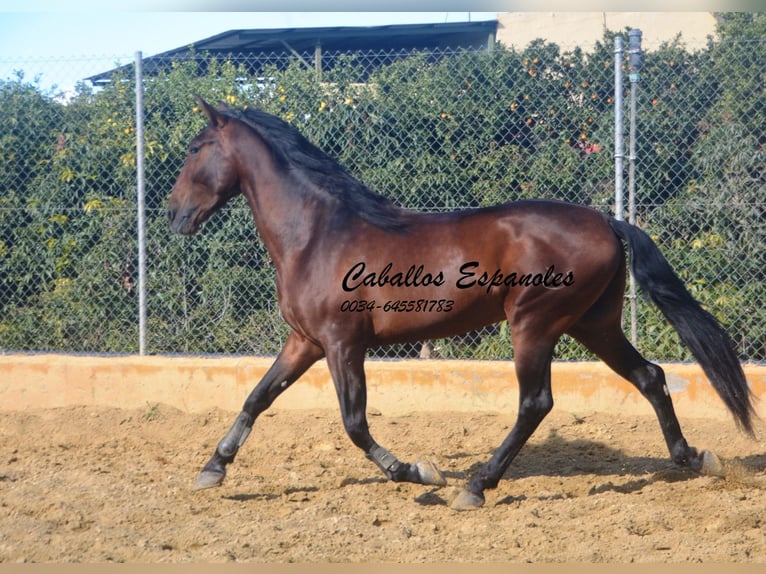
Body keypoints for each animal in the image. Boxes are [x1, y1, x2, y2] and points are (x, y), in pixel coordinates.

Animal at [168, 97, 756, 510]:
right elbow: (256, 398)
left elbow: (354, 423)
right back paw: (693, 457)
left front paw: (417, 472)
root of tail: (606, 221)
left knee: (536, 403)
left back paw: (476, 486)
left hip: (535, 324)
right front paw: (212, 470)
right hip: (594, 324)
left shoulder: (342, 343)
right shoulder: (305, 342)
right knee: (649, 376)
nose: (174, 216)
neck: (316, 235)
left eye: (196, 148)